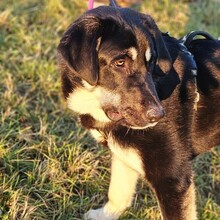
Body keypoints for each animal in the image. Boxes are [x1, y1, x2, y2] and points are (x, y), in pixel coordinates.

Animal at [57, 0, 220, 219]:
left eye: (150, 63)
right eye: (120, 62)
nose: (158, 115)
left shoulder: (173, 178)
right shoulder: (123, 153)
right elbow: (118, 192)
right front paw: (105, 215)